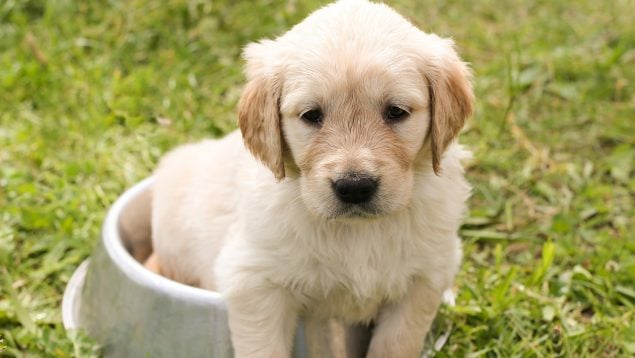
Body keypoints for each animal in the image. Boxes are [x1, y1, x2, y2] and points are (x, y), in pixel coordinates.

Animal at [152, 0, 474, 356]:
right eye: (311, 115)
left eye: (396, 112)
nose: (354, 187)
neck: (357, 233)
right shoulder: (254, 280)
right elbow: (264, 347)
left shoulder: (424, 278)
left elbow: (396, 343)